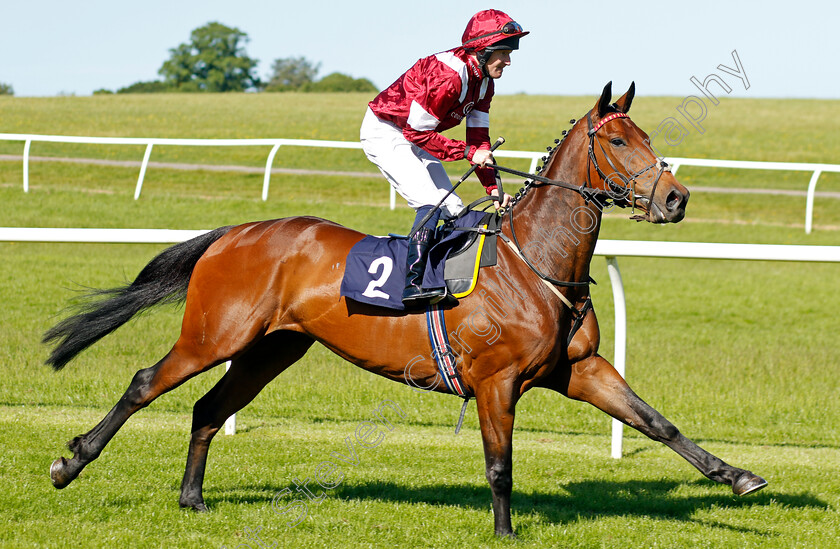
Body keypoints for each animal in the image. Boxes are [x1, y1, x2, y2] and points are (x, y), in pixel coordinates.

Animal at [46, 81, 768, 536]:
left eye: (643, 134)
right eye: (618, 142)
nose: (676, 198)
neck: (535, 262)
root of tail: (236, 232)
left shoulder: (581, 368)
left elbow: (658, 422)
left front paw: (737, 476)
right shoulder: (496, 381)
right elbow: (500, 465)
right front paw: (505, 532)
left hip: (272, 347)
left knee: (206, 409)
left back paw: (192, 498)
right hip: (214, 335)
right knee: (146, 382)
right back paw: (70, 461)